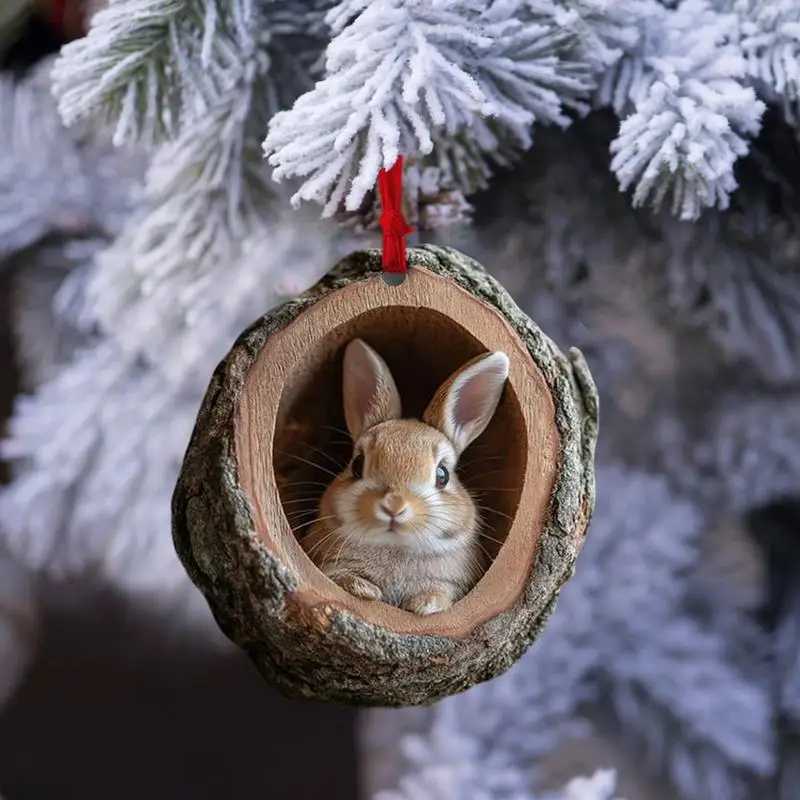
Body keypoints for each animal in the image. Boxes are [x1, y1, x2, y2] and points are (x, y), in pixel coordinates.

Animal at [302, 338, 510, 615]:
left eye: (442, 475)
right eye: (357, 464)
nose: (394, 505)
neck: (395, 546)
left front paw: (425, 604)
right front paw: (365, 590)